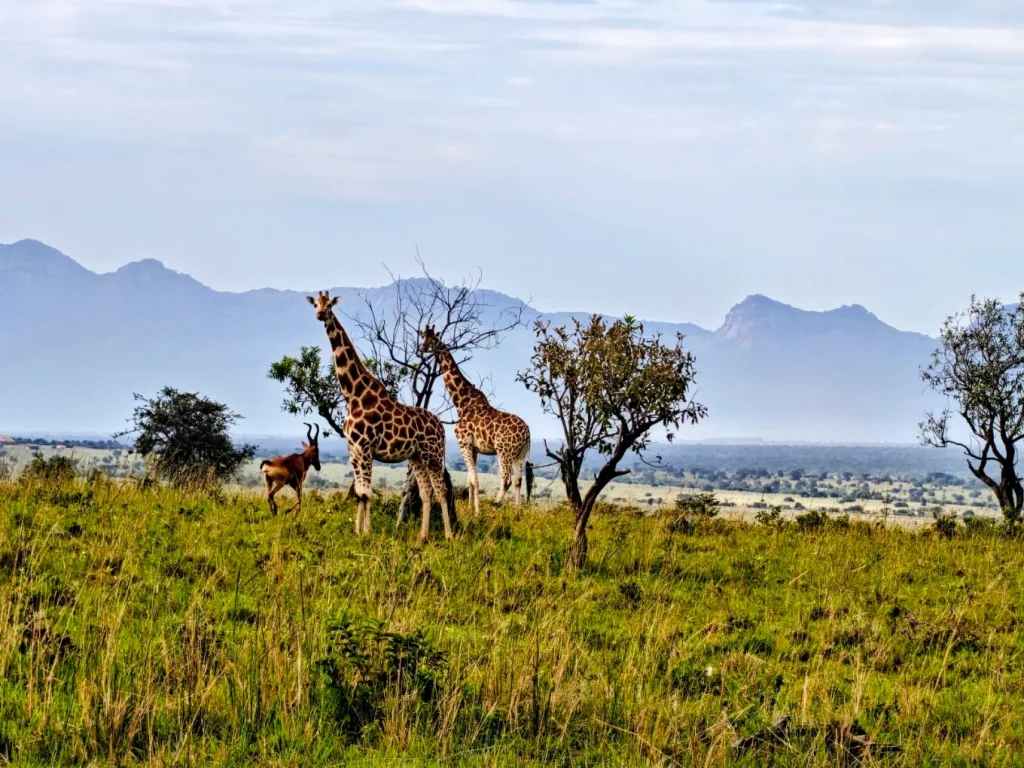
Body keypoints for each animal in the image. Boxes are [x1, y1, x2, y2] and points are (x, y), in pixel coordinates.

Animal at [307, 291, 453, 540]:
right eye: (316, 304)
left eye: (329, 305)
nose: (319, 314)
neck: (353, 395)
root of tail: (441, 427)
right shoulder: (353, 450)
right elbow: (359, 492)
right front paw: (357, 531)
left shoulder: (366, 448)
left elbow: (366, 493)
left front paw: (366, 533)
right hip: (417, 457)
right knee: (426, 492)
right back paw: (422, 536)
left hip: (433, 454)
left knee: (441, 489)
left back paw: (449, 535)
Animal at [420, 324, 531, 518]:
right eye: (422, 336)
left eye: (432, 338)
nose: (422, 348)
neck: (461, 401)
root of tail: (527, 433)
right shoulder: (474, 448)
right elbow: (470, 481)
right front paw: (470, 510)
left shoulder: (463, 443)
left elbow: (475, 479)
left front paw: (477, 513)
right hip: (521, 452)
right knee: (518, 479)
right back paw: (517, 514)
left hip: (504, 451)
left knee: (506, 480)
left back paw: (493, 508)